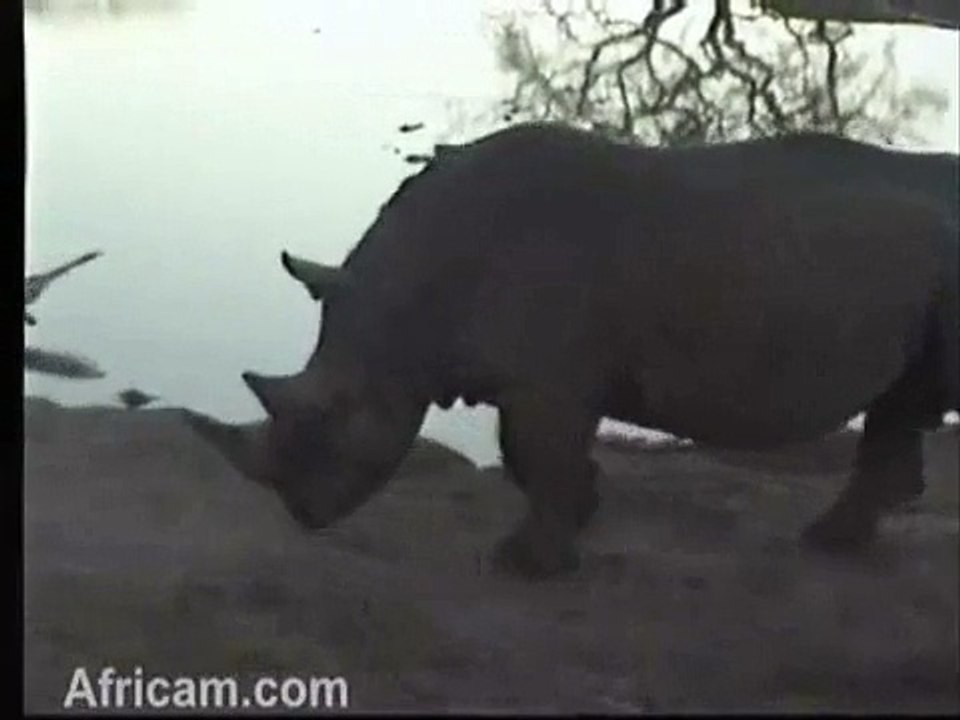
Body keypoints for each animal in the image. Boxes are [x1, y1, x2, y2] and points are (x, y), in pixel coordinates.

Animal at [185, 123, 958, 578]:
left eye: (338, 417)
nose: (303, 515)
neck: (404, 307)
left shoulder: (548, 380)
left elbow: (535, 452)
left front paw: (526, 563)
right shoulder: (536, 376)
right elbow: (533, 458)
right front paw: (583, 511)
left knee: (908, 403)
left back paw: (827, 541)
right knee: (900, 401)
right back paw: (833, 543)